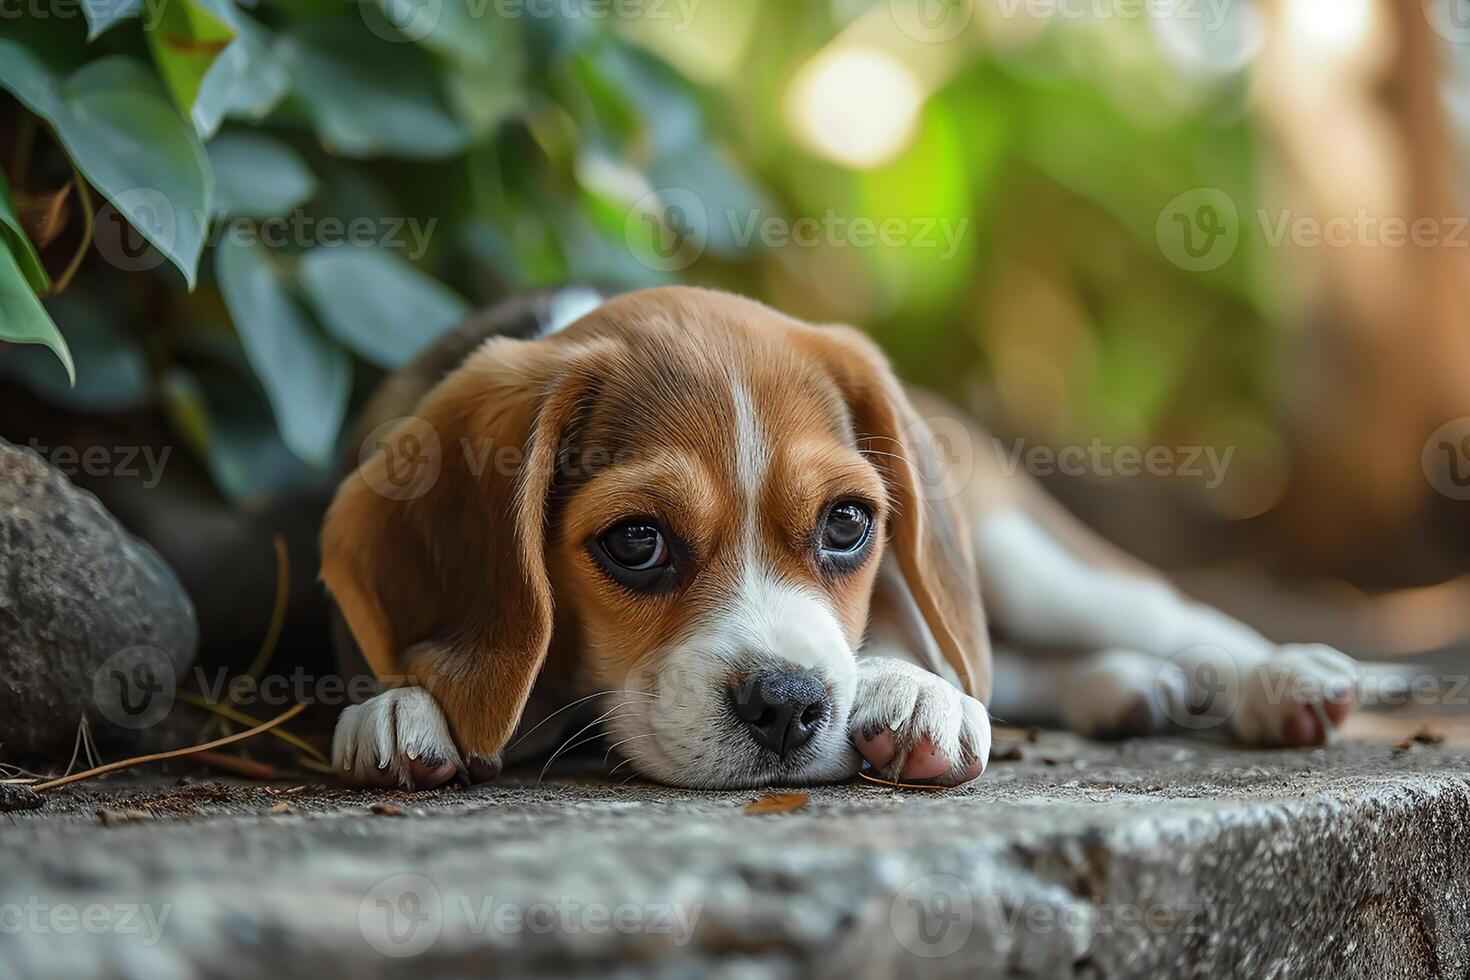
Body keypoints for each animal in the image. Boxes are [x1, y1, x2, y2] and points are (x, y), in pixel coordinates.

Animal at [327, 283, 1358, 787]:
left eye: (848, 523)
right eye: (636, 542)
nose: (788, 707)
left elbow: (900, 642)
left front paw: (909, 693)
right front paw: (405, 705)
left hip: (1028, 561)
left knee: (1168, 614)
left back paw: (1286, 679)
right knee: (1021, 663)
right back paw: (1124, 689)